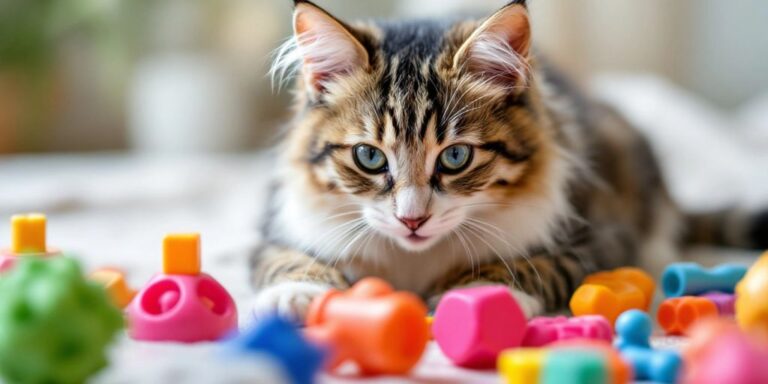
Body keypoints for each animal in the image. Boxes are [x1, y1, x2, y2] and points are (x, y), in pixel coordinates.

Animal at [249, 0, 764, 320]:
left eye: (456, 156)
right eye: (369, 157)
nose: (412, 220)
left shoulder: (587, 240)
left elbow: (527, 266)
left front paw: (479, 296)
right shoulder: (277, 226)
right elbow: (285, 259)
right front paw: (295, 293)